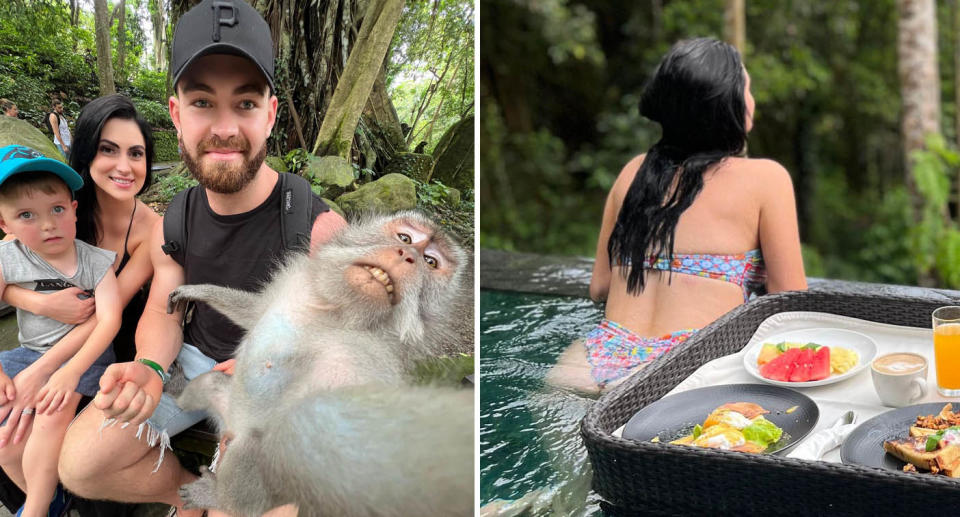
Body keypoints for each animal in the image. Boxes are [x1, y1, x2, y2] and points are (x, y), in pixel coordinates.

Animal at [171, 210, 478, 516]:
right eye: (405, 238)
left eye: (431, 262)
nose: (407, 255)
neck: (337, 312)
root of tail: (231, 425)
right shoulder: (294, 283)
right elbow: (254, 312)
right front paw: (200, 291)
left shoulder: (370, 364)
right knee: (209, 384)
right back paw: (177, 393)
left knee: (258, 446)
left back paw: (220, 497)